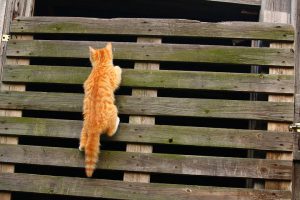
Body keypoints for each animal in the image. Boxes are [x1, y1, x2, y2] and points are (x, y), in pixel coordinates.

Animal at [79, 42, 123, 177]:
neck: (100, 65)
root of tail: (94, 128)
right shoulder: (114, 78)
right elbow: (117, 73)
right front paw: (118, 67)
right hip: (113, 110)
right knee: (110, 132)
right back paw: (118, 121)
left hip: (84, 126)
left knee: (83, 143)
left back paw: (82, 145)